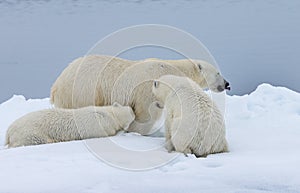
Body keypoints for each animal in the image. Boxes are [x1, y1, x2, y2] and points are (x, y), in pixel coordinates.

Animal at [5, 103, 134, 147]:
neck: (109, 114)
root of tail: (8, 130)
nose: (133, 109)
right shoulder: (99, 126)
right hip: (30, 133)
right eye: (132, 112)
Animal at [51, 55, 230, 135]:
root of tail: (57, 85)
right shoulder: (147, 91)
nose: (227, 84)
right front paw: (135, 131)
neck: (171, 69)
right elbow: (145, 115)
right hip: (85, 90)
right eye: (218, 72)